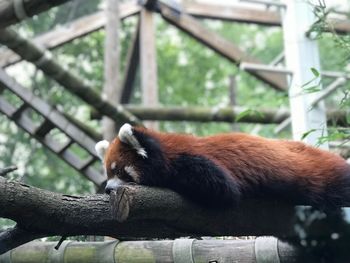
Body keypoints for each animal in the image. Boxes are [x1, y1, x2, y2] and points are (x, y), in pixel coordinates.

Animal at [95, 125, 350, 209]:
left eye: (120, 171)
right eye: (108, 173)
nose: (108, 189)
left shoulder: (197, 161)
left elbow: (224, 191)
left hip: (325, 177)